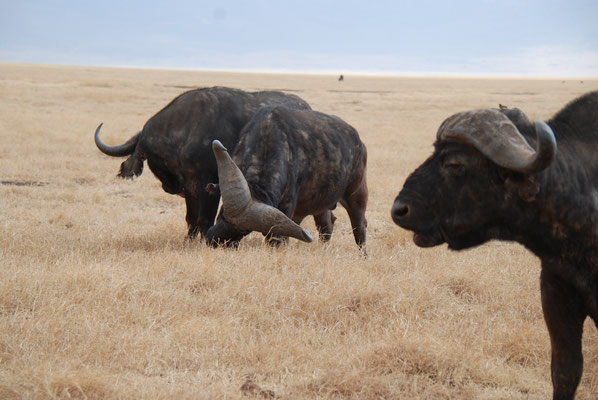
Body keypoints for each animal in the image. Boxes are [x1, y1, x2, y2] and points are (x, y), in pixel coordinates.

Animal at [94, 86, 312, 239]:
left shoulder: (207, 185)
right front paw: (188, 241)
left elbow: (204, 219)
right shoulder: (190, 189)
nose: (169, 187)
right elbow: (190, 219)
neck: (184, 134)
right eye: (149, 154)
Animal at [205, 106, 370, 250]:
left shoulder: (287, 205)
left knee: (359, 226)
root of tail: (359, 143)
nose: (214, 241)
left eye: (245, 231)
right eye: (222, 213)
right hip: (320, 203)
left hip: (357, 195)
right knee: (327, 223)